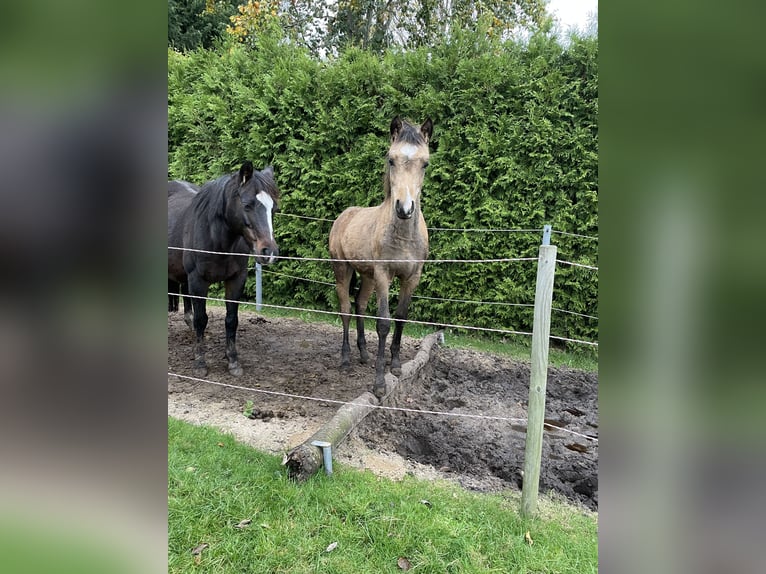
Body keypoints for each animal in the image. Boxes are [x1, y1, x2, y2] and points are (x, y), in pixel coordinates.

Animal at [166, 162, 280, 378]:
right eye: (247, 205)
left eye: (274, 209)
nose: (268, 252)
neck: (217, 239)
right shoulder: (198, 281)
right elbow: (201, 319)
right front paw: (200, 362)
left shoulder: (236, 279)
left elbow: (231, 320)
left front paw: (233, 361)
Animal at [328, 117, 432, 396]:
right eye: (391, 159)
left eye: (425, 163)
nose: (404, 208)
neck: (404, 236)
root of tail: (344, 216)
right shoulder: (384, 275)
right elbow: (384, 322)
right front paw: (379, 383)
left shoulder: (411, 277)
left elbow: (401, 317)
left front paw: (395, 366)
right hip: (343, 270)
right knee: (345, 310)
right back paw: (345, 358)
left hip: (367, 276)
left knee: (360, 305)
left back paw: (364, 353)